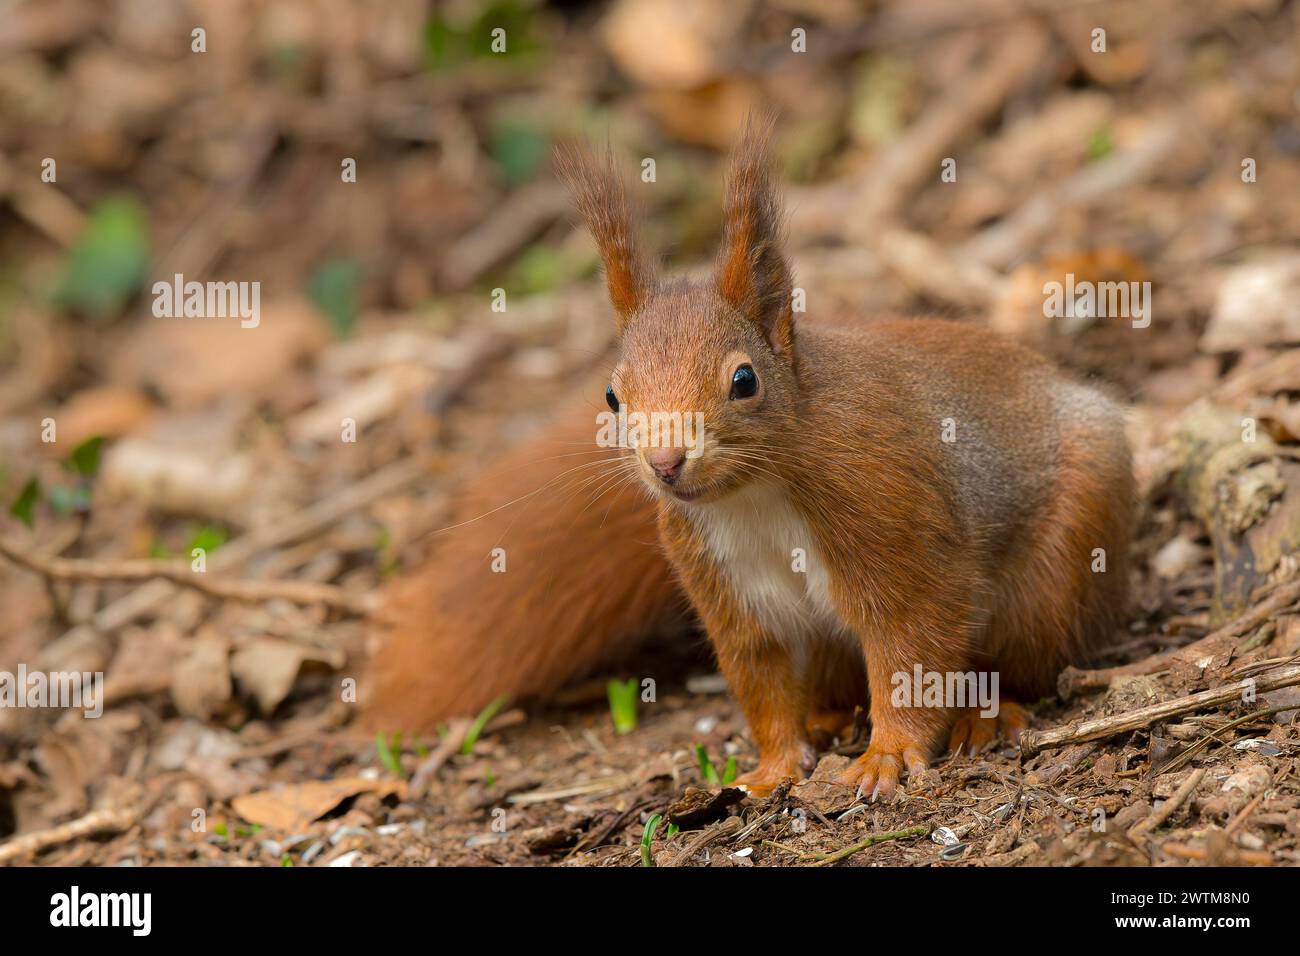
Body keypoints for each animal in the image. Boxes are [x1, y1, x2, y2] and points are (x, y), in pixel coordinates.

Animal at [364, 117, 1128, 801]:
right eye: (612, 395)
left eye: (743, 380)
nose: (665, 462)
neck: (754, 493)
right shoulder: (725, 585)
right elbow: (760, 679)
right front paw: (770, 769)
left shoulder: (894, 523)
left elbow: (911, 645)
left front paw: (887, 756)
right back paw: (830, 718)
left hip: (1059, 566)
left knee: (1027, 658)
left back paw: (984, 713)